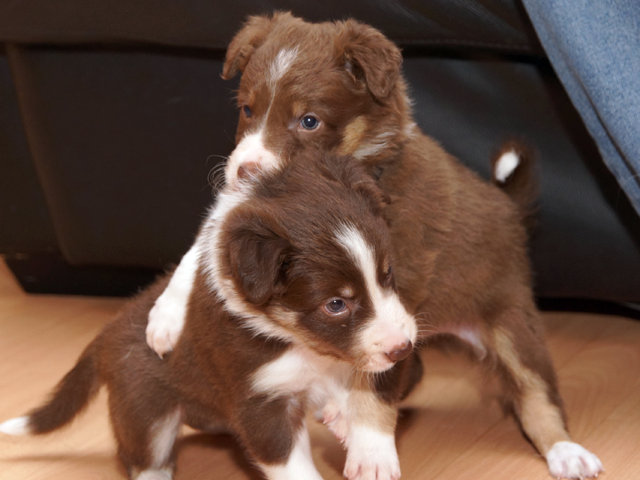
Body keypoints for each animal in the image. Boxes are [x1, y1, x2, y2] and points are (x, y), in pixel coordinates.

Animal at [0, 152, 422, 480]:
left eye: (387, 275)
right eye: (335, 304)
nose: (403, 348)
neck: (301, 345)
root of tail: (109, 330)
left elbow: (374, 396)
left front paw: (370, 453)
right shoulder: (261, 403)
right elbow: (289, 463)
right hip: (143, 409)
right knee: (143, 457)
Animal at [145, 12, 603, 480]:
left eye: (309, 120)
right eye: (247, 109)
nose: (244, 172)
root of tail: (509, 206)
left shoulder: (396, 282)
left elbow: (380, 377)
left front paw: (372, 449)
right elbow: (203, 244)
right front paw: (167, 315)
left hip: (511, 319)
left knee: (536, 393)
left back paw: (566, 451)